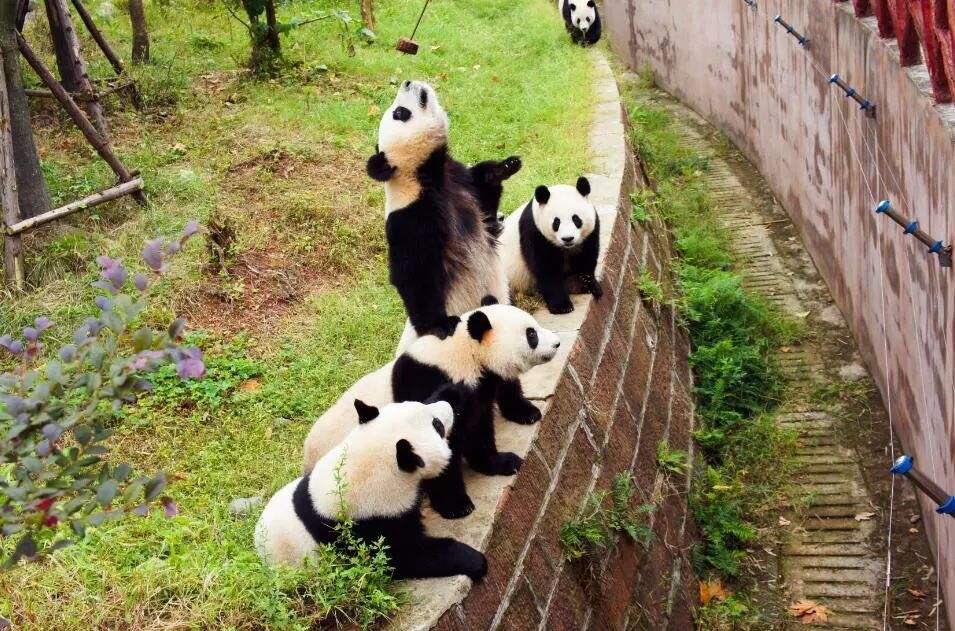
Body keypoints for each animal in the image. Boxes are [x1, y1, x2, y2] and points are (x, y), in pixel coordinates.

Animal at [302, 303, 562, 519]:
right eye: (531, 334)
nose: (557, 343)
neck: (465, 354)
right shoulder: (429, 385)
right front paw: (456, 506)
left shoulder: (474, 391)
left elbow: (478, 429)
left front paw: (502, 462)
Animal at [365, 80, 521, 353]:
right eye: (400, 113)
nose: (407, 82)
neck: (425, 174)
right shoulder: (411, 215)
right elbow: (412, 271)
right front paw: (439, 325)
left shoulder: (459, 180)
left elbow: (484, 199)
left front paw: (505, 167)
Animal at [501, 177, 603, 314]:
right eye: (556, 222)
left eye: (576, 219)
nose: (567, 238)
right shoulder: (534, 231)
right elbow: (546, 269)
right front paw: (562, 306)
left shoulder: (591, 231)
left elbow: (587, 256)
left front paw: (587, 284)